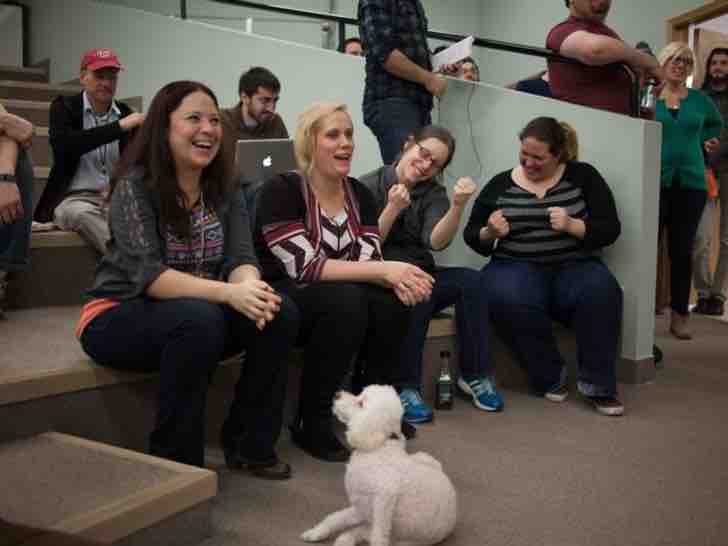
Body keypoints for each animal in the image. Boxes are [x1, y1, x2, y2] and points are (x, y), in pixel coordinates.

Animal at [300, 382, 456, 544]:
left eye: (361, 403)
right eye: (359, 394)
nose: (337, 394)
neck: (379, 447)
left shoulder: (384, 500)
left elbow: (378, 536)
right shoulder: (361, 507)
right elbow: (335, 518)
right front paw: (315, 532)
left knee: (367, 532)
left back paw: (346, 538)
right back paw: (343, 539)